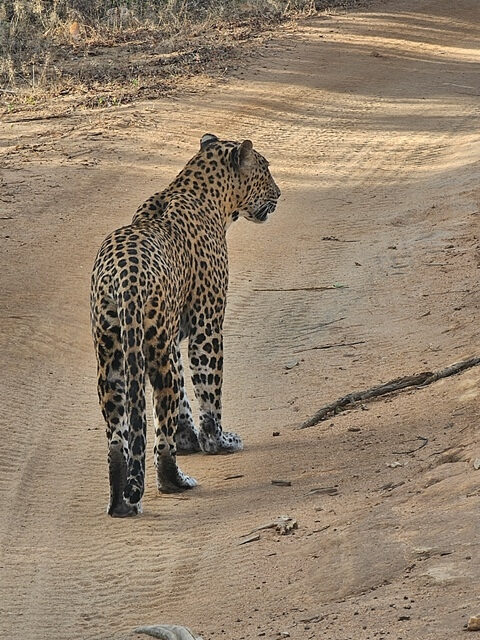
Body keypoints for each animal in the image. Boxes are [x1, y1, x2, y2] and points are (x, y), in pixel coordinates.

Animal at [90, 134, 281, 517]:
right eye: (265, 168)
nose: (280, 194)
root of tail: (124, 276)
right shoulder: (207, 324)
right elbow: (208, 392)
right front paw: (216, 441)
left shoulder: (172, 333)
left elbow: (184, 402)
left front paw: (190, 439)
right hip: (154, 351)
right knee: (160, 428)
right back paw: (174, 481)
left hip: (113, 353)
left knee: (118, 434)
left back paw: (120, 502)